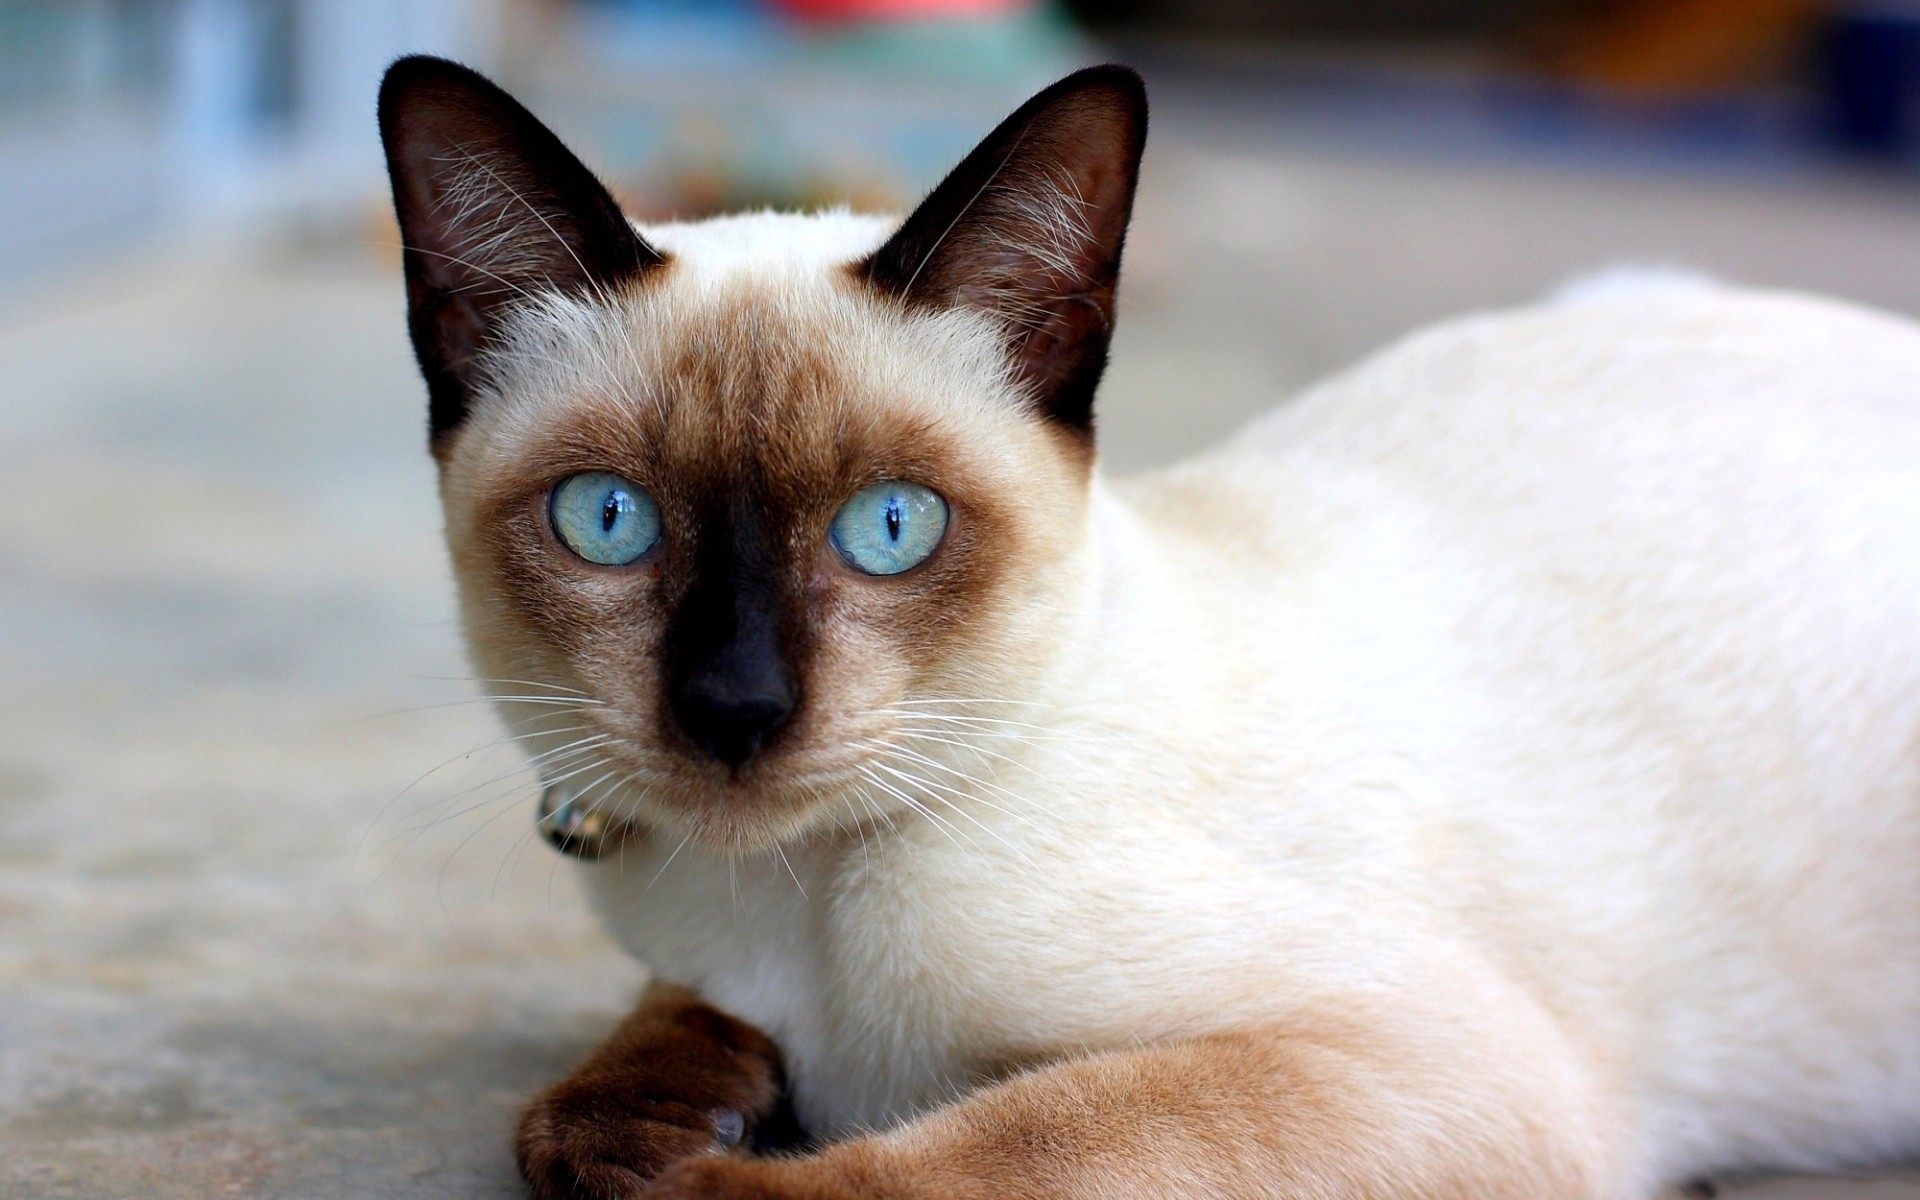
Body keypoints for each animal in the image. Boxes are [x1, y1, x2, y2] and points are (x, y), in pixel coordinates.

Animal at [378, 53, 1920, 1198]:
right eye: (608, 521)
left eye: (891, 528)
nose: (737, 707)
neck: (789, 912)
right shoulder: (699, 976)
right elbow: (631, 1057)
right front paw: (645, 1125)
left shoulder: (1406, 1063)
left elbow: (989, 1150)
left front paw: (694, 1174)